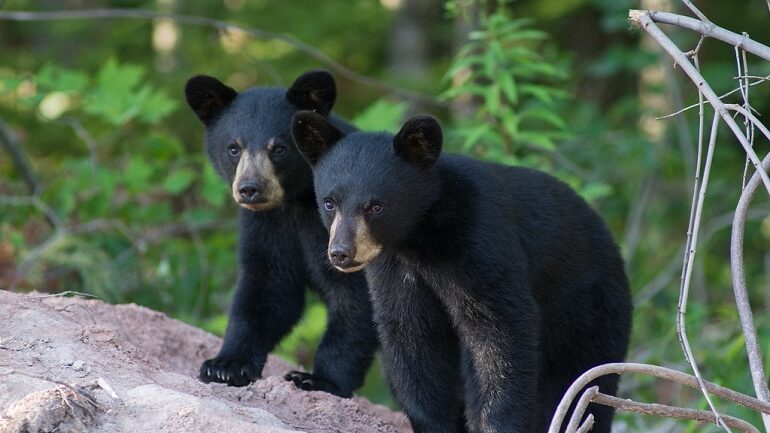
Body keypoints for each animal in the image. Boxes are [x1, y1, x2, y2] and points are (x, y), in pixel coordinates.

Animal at [186, 69, 378, 396]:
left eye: (278, 148)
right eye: (234, 147)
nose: (250, 188)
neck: (298, 201)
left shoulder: (351, 232)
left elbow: (354, 299)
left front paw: (319, 379)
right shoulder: (269, 225)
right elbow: (268, 288)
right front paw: (225, 365)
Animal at [292, 112, 632, 432]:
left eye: (376, 206)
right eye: (329, 202)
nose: (341, 252)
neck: (421, 237)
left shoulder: (479, 242)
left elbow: (499, 331)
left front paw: (495, 424)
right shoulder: (395, 270)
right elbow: (411, 337)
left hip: (589, 310)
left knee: (583, 380)